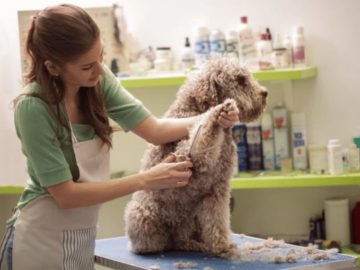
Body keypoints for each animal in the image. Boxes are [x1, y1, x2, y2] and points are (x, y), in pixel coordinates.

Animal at [124, 55, 268, 260]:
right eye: (240, 80)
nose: (265, 93)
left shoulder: (218, 189)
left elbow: (218, 220)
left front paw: (223, 246)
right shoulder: (185, 157)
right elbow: (205, 133)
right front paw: (217, 113)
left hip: (192, 218)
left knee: (181, 239)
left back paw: (194, 244)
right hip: (143, 213)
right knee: (154, 242)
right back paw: (150, 247)